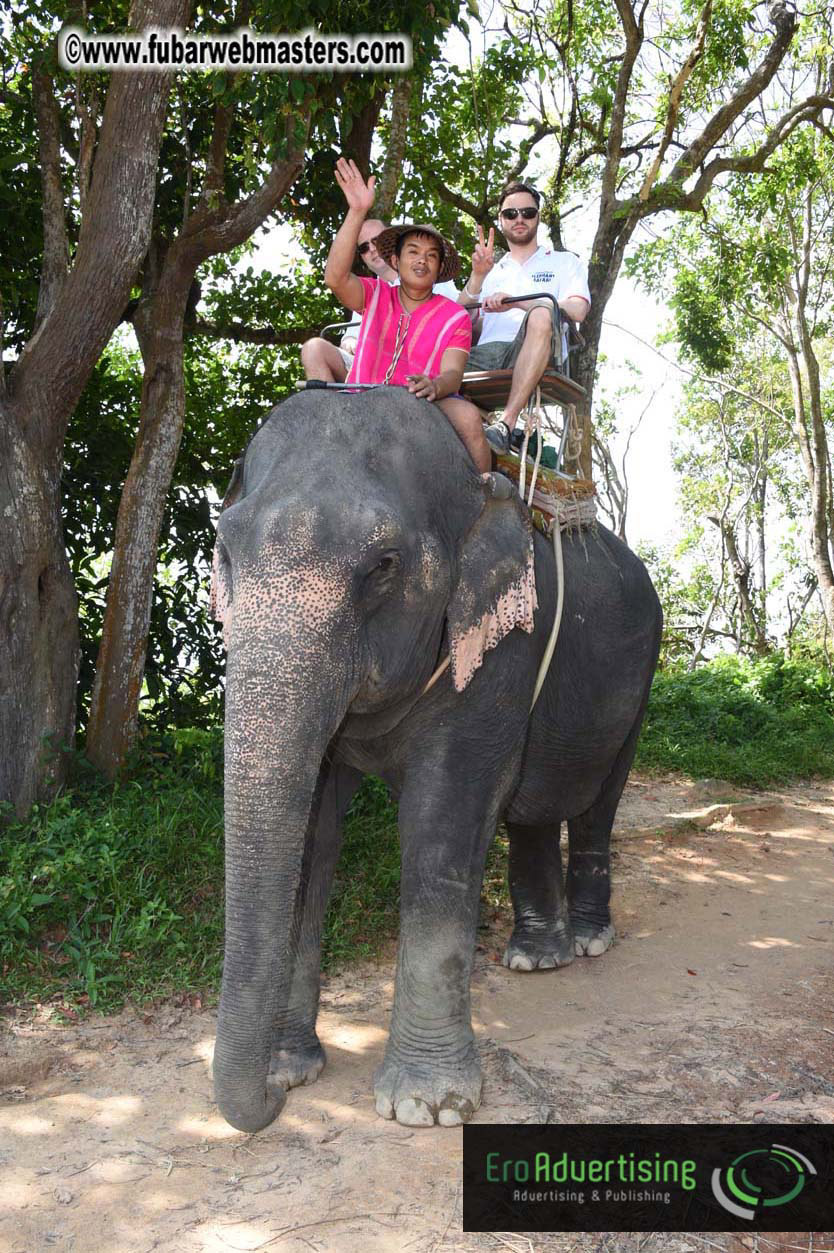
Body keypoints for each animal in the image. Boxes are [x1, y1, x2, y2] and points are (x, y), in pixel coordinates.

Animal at [210, 386, 662, 1133]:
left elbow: (444, 818)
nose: (271, 1105)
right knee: (533, 808)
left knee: (598, 801)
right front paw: (291, 1069)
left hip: (643, 673)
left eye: (384, 565)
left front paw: (426, 1105)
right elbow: (313, 832)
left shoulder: (502, 643)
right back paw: (536, 958)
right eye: (223, 548)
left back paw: (588, 942)